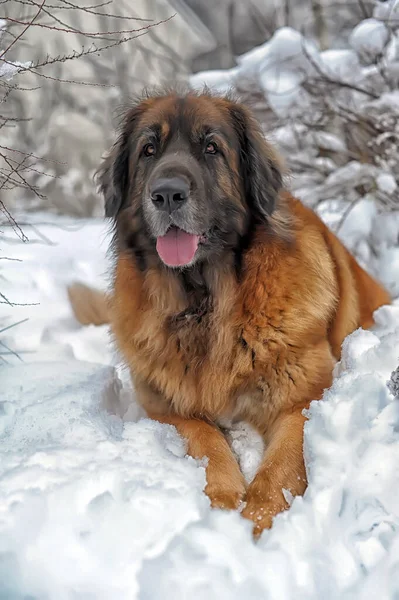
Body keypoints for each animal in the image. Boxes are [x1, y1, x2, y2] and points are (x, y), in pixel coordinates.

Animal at [69, 91, 390, 536]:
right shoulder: (165, 409)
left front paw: (255, 522)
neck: (206, 303)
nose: (166, 194)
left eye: (211, 148)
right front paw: (223, 502)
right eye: (148, 150)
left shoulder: (303, 401)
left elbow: (280, 468)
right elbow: (206, 440)